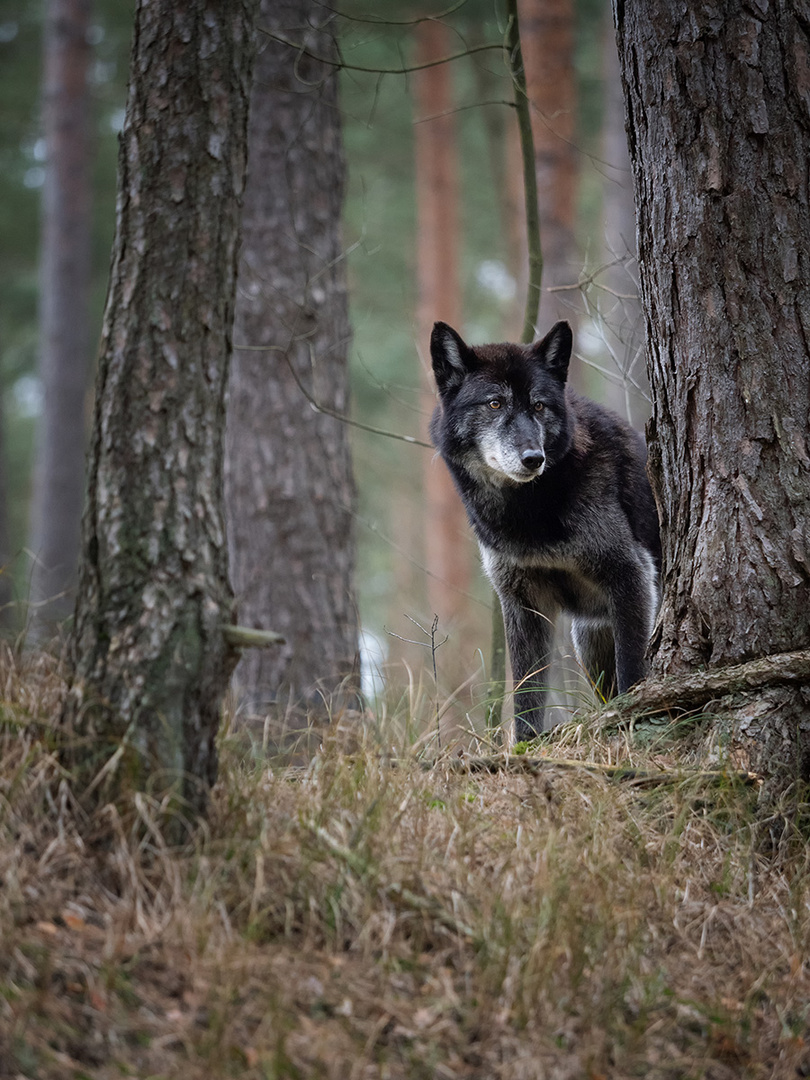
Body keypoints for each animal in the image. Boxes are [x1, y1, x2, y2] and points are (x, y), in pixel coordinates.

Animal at [432, 319, 660, 743]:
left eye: (539, 405)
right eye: (495, 403)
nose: (533, 458)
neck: (532, 516)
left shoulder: (632, 576)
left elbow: (634, 670)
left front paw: (631, 718)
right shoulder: (523, 601)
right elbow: (526, 694)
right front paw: (524, 747)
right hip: (590, 645)